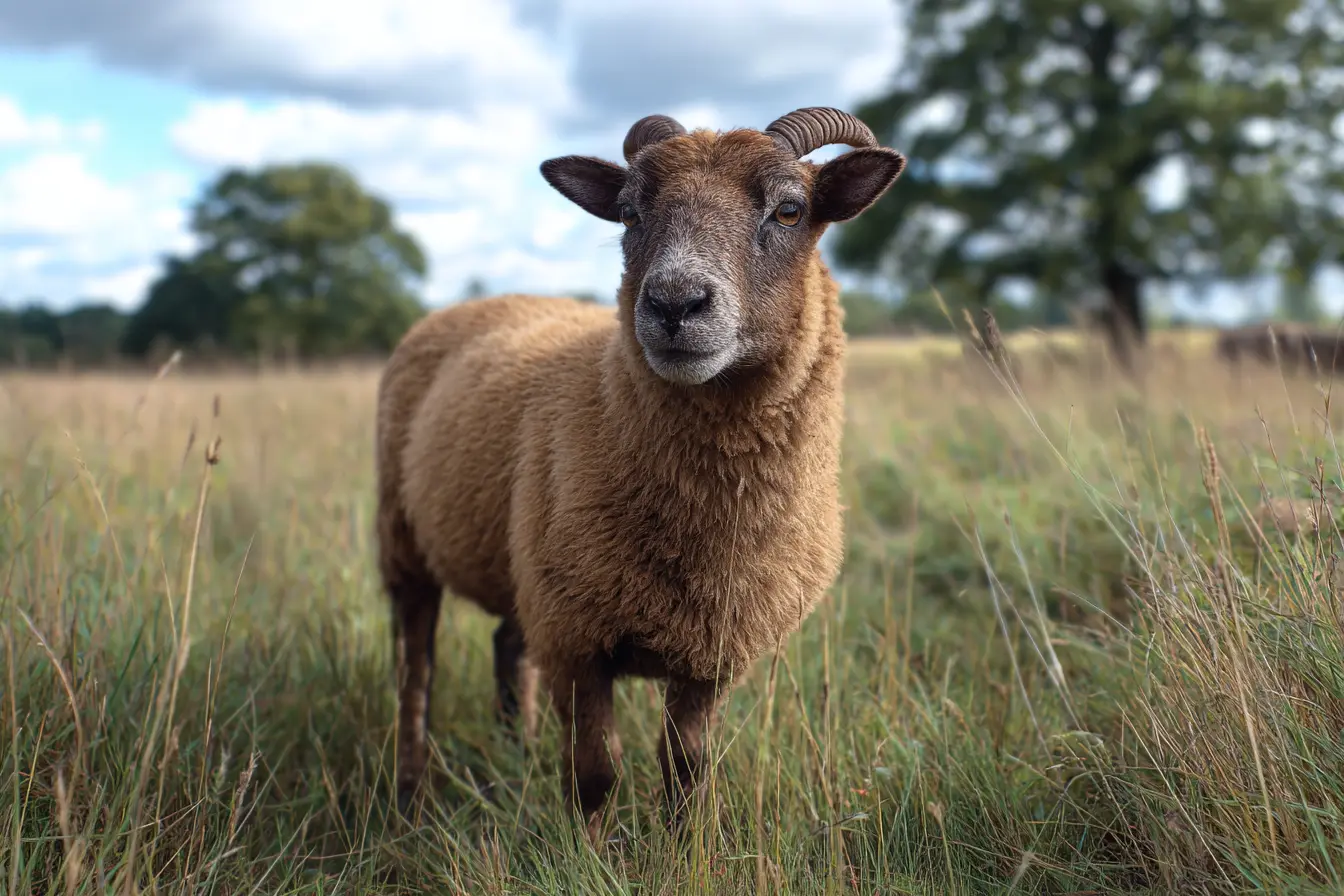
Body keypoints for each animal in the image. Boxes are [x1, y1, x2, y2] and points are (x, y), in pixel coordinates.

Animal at [374, 106, 907, 838]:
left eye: (790, 209)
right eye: (629, 212)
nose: (675, 305)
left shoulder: (710, 653)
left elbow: (687, 769)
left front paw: (688, 847)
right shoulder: (577, 640)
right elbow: (596, 774)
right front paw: (589, 852)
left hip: (523, 566)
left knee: (506, 645)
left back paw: (519, 751)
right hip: (406, 544)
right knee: (414, 675)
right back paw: (408, 796)